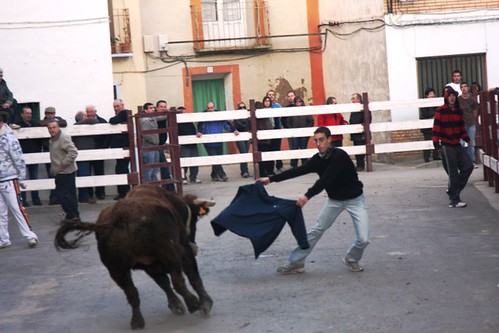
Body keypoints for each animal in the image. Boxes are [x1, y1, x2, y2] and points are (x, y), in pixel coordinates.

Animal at [54, 184, 215, 330]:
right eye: (195, 220)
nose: (194, 244)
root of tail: (119, 217)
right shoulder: (182, 248)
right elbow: (192, 275)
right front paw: (205, 302)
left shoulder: (150, 265)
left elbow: (163, 283)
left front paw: (176, 305)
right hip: (170, 252)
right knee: (178, 281)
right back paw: (193, 303)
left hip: (116, 269)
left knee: (132, 292)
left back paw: (137, 321)